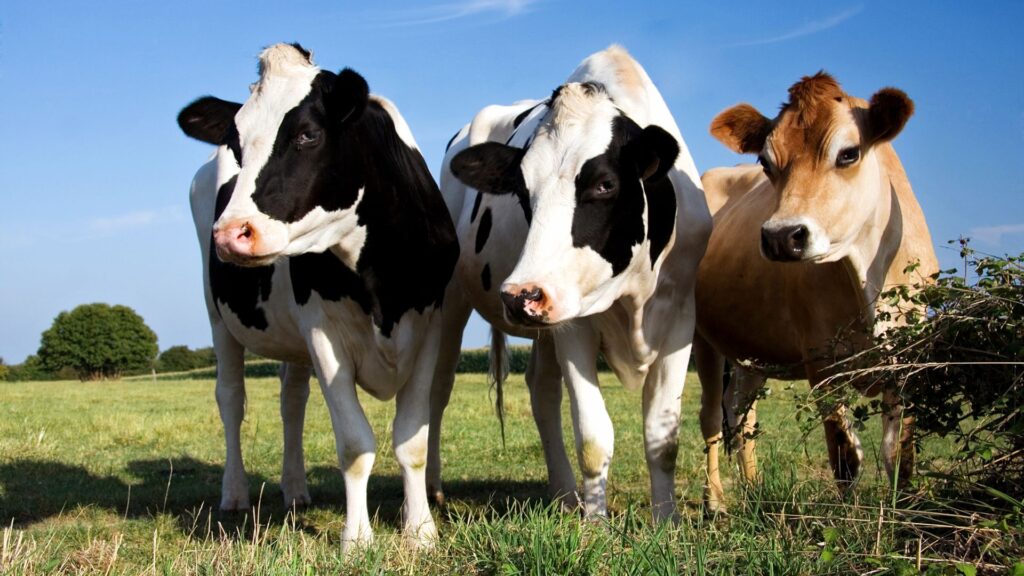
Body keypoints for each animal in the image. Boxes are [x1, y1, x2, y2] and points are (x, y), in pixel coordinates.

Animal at [176, 43, 458, 549]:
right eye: (236, 144)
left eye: (307, 134)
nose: (229, 235)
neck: (379, 278)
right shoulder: (324, 334)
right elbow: (355, 443)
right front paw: (357, 540)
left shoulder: (429, 325)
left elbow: (411, 440)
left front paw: (420, 531)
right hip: (217, 314)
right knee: (230, 399)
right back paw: (235, 493)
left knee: (292, 401)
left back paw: (295, 490)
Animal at [426, 45, 713, 522]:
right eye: (522, 191)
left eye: (605, 184)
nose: (519, 295)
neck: (632, 292)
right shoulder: (574, 323)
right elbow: (594, 436)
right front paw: (596, 525)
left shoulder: (680, 317)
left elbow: (663, 438)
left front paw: (666, 520)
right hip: (452, 299)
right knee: (438, 387)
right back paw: (433, 488)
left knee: (541, 392)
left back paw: (563, 494)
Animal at [693, 72, 938, 512]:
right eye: (765, 162)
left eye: (848, 153)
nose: (780, 236)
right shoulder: (821, 362)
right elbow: (845, 455)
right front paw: (846, 519)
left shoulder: (911, 358)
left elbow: (900, 452)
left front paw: (905, 510)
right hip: (702, 340)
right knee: (711, 421)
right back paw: (716, 500)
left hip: (751, 351)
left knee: (741, 414)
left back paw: (753, 489)